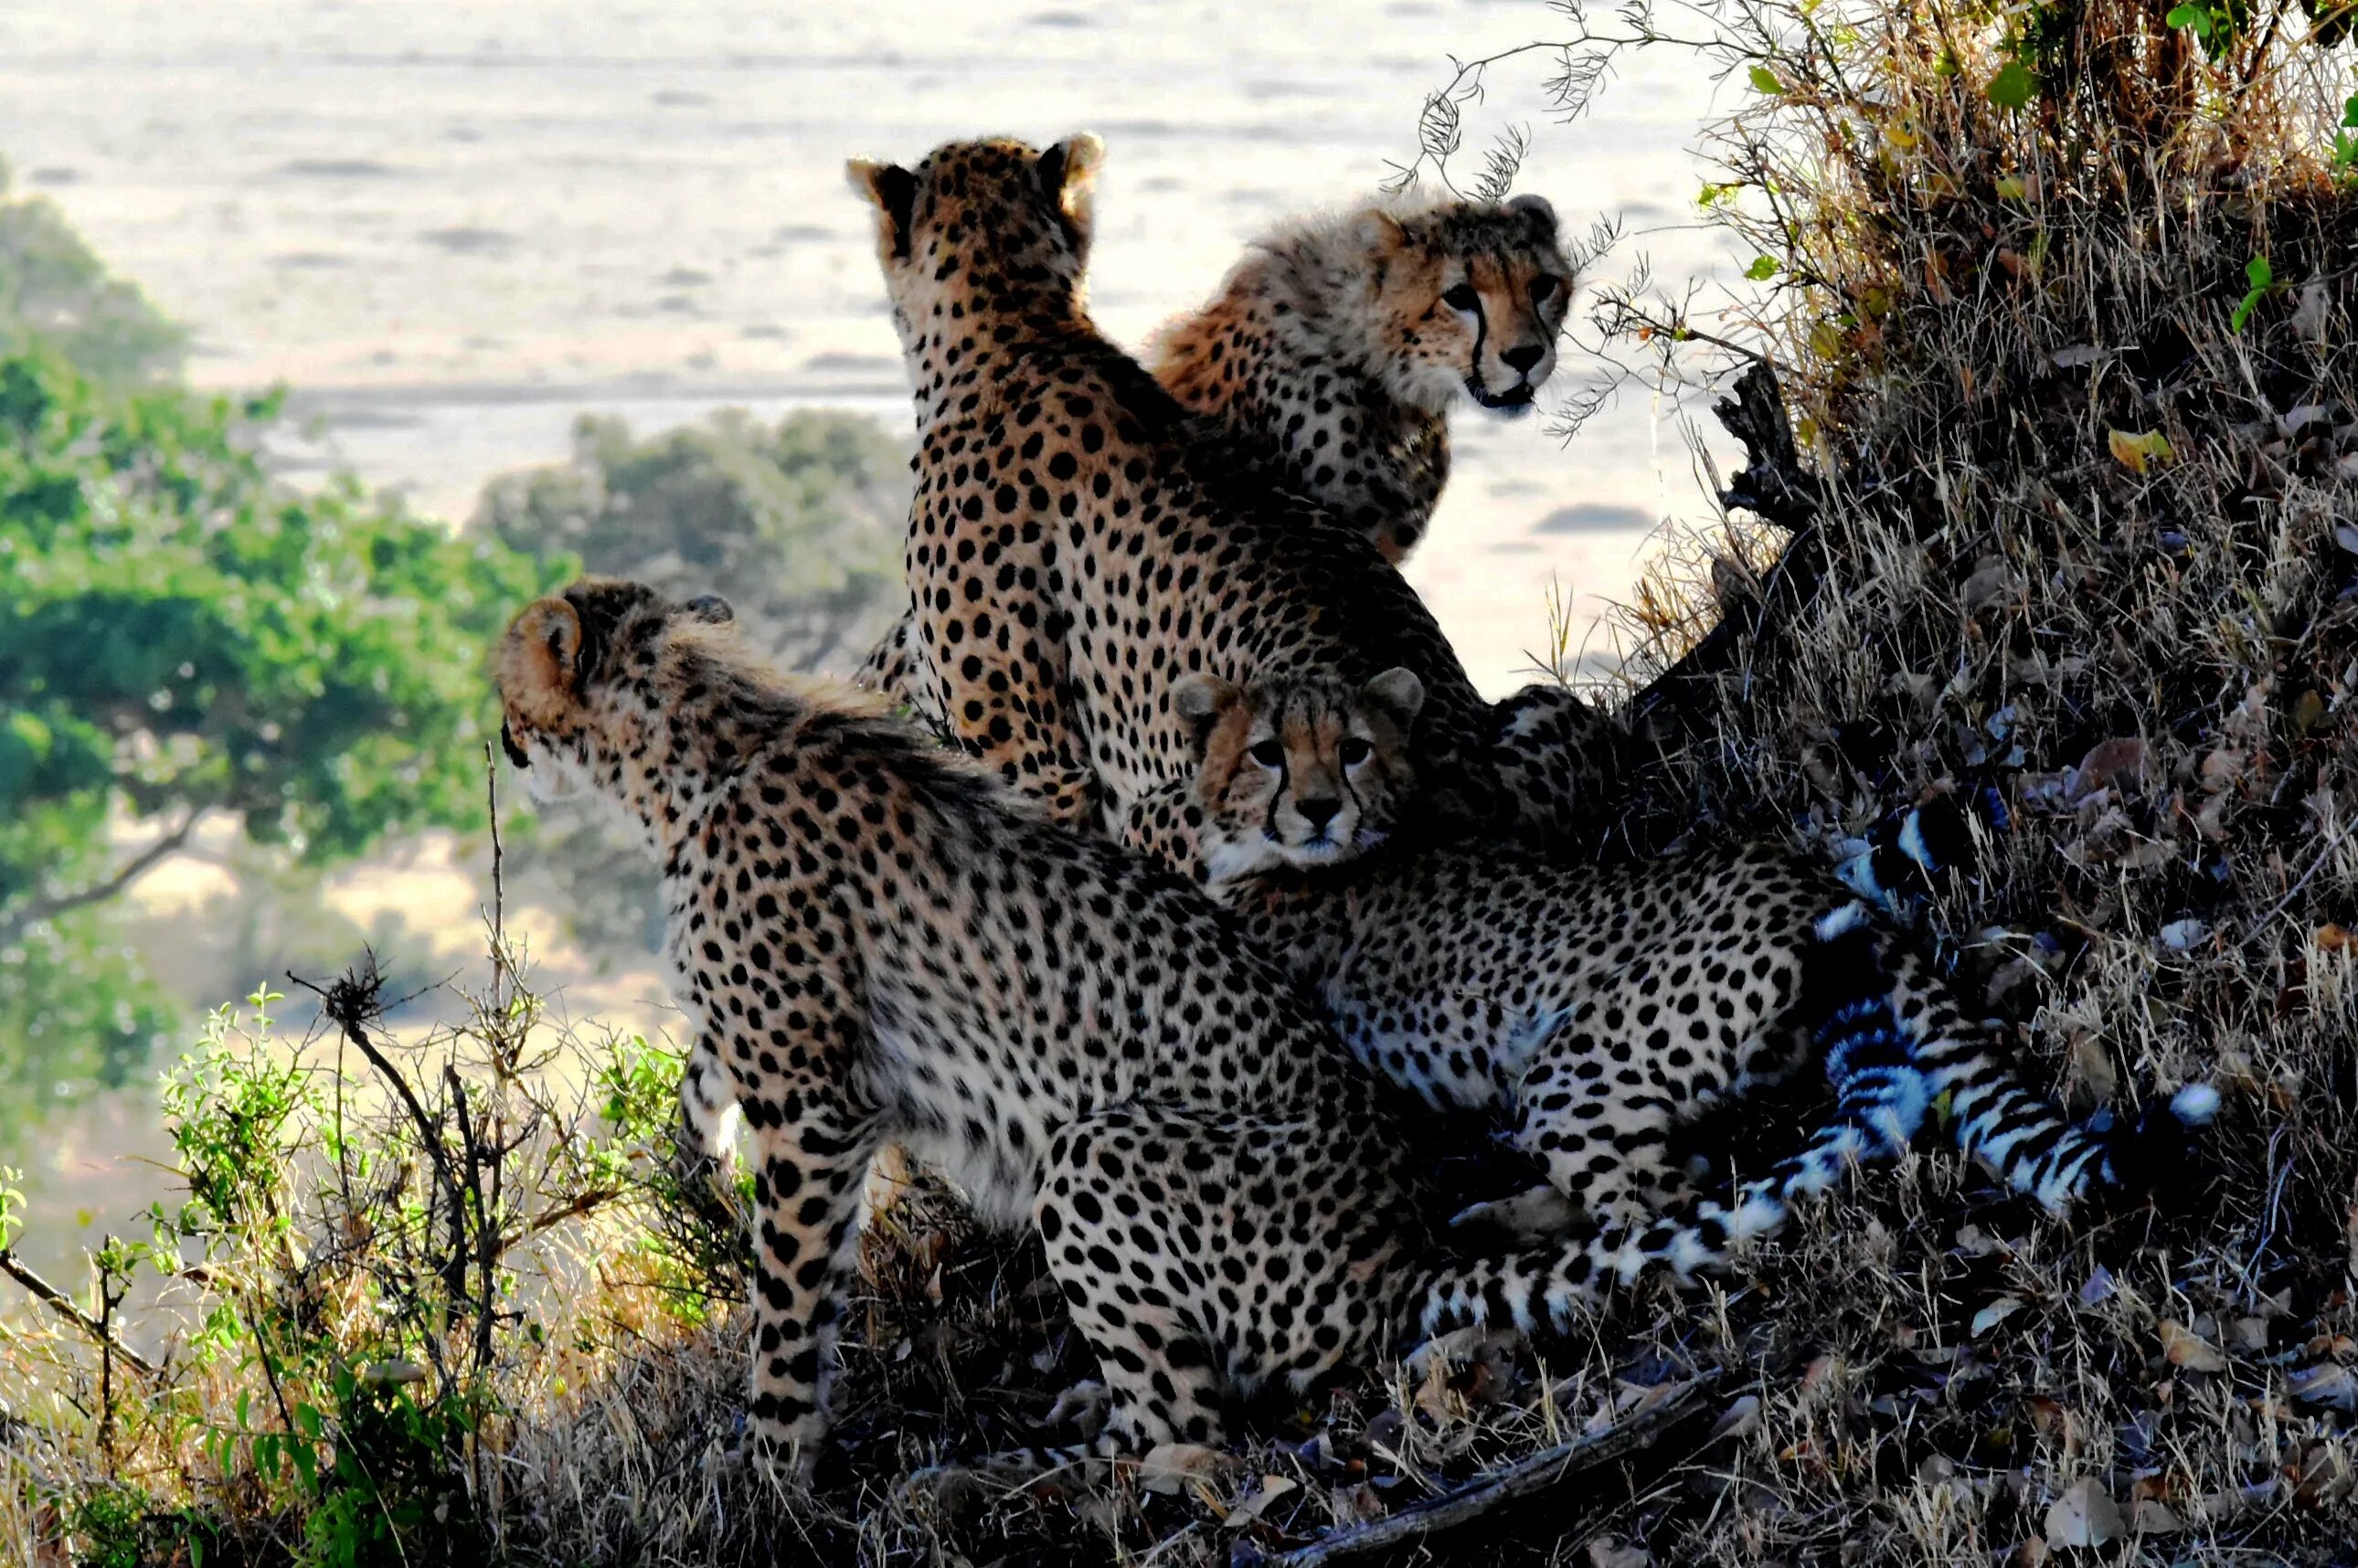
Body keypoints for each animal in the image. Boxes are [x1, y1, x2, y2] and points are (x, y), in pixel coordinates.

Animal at [497, 575, 1970, 1471]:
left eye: (513, 667)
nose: (497, 733)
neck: (696, 751)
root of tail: (1386, 1264)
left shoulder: (815, 1107)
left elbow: (789, 1314)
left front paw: (775, 1478)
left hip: (1098, 1157)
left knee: (1195, 1423)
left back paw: (1074, 1451)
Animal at [1151, 664, 2216, 1245]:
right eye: (1268, 751)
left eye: (1354, 748)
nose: (1318, 808)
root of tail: (1806, 885)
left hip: (1574, 1063)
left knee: (1663, 1197)